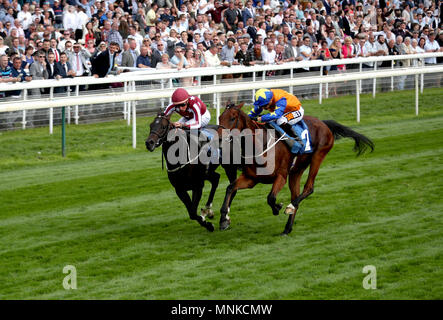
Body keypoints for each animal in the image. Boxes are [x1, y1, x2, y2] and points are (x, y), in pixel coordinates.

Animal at [219, 103, 374, 235]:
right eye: (220, 117)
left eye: (232, 118)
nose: (219, 138)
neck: (260, 145)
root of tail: (323, 123)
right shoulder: (251, 179)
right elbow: (230, 188)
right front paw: (224, 219)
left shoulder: (281, 176)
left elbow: (271, 198)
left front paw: (278, 207)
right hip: (296, 170)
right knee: (295, 194)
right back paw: (287, 228)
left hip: (318, 156)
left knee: (308, 188)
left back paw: (290, 207)